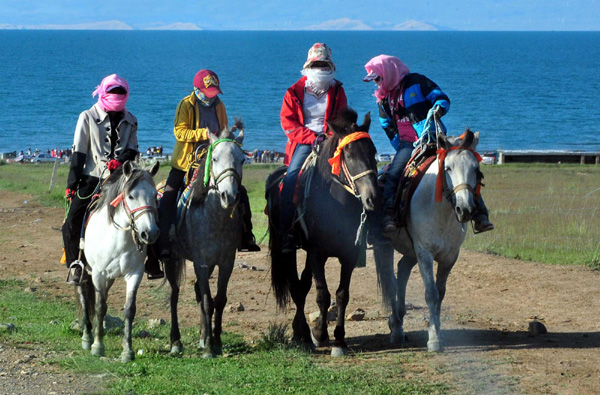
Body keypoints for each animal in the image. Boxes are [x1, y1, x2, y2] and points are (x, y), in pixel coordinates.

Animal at [165, 128, 245, 360]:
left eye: (242, 159)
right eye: (215, 158)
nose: (230, 196)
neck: (216, 218)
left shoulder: (226, 263)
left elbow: (220, 299)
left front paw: (215, 341)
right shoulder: (200, 263)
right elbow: (209, 302)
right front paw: (210, 348)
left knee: (197, 291)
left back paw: (202, 336)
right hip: (171, 259)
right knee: (174, 295)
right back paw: (176, 342)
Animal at [372, 131, 486, 352]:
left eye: (476, 169)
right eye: (447, 168)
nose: (465, 209)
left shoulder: (450, 256)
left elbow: (440, 293)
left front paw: (438, 333)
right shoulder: (424, 252)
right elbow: (431, 293)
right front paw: (433, 340)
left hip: (411, 250)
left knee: (403, 269)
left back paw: (398, 319)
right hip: (386, 245)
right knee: (391, 280)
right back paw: (396, 328)